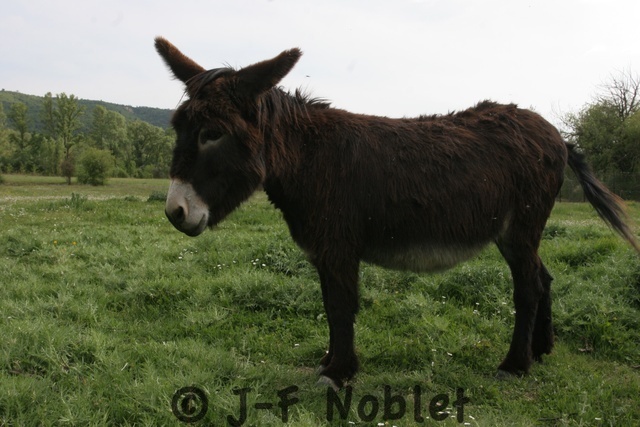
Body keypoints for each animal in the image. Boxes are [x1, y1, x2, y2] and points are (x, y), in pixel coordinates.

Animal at [154, 37, 639, 389]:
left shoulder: (339, 247)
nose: (175, 212)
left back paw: (515, 365)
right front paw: (330, 362)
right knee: (544, 277)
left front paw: (338, 373)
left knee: (529, 288)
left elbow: (340, 306)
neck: (310, 159)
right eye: (178, 129)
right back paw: (541, 350)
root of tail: (557, 136)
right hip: (521, 231)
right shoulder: (324, 250)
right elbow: (330, 303)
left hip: (519, 227)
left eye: (213, 134)